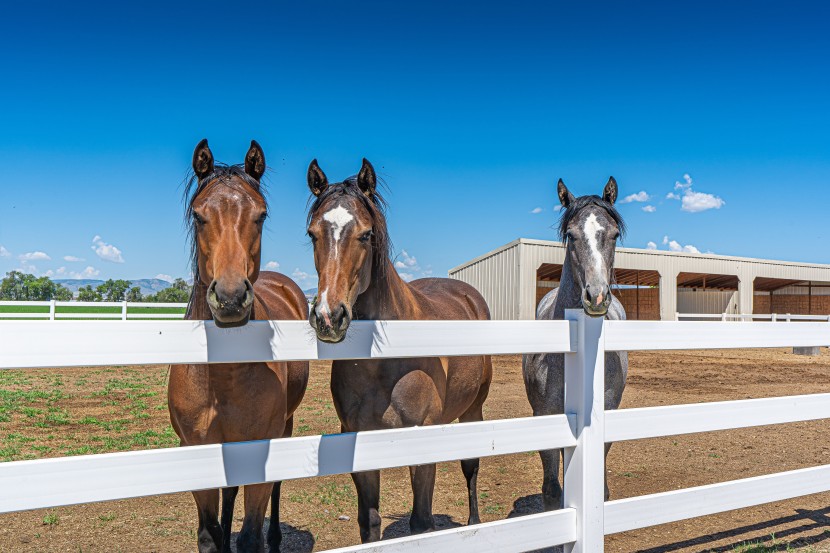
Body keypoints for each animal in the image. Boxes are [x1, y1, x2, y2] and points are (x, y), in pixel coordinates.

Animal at [169, 140, 312, 552]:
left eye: (261, 215)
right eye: (199, 216)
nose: (230, 299)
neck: (224, 376)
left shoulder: (260, 448)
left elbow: (250, 535)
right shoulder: (198, 451)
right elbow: (209, 533)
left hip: (285, 425)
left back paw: (276, 537)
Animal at [304, 157, 494, 540]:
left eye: (366, 234)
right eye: (312, 234)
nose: (329, 316)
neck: (384, 363)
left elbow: (421, 521)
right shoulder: (359, 439)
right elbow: (370, 521)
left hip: (473, 408)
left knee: (470, 467)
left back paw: (474, 523)